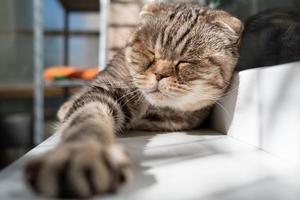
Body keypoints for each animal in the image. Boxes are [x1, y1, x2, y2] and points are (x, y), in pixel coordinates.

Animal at [24, 3, 244, 198]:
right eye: (151, 53)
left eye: (185, 61)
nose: (159, 74)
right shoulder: (107, 87)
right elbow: (87, 118)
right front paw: (81, 151)